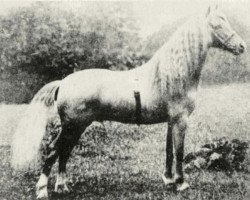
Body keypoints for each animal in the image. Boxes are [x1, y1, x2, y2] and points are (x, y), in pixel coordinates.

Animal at [10, 5, 245, 198]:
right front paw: (181, 183)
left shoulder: (171, 121)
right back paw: (43, 190)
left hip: (76, 127)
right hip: (73, 125)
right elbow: (179, 152)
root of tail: (64, 82)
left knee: (64, 152)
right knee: (53, 150)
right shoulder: (180, 120)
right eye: (217, 24)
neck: (171, 74)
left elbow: (169, 151)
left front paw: (168, 180)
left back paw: (62, 186)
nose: (241, 46)